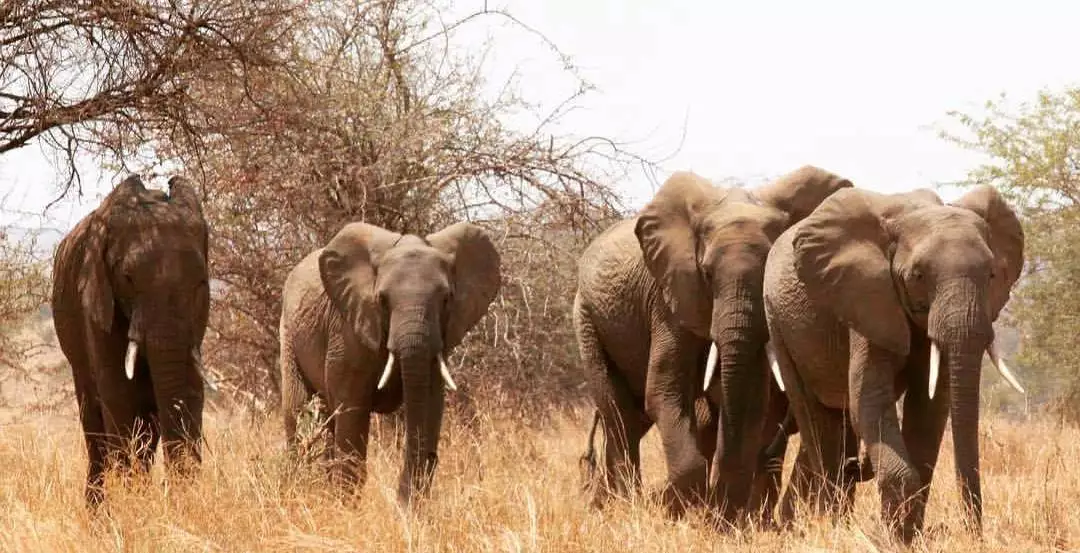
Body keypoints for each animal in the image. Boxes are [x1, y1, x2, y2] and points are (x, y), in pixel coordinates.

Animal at [51, 174, 210, 507]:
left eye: (201, 282)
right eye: (127, 278)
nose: (169, 491)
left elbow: (191, 387)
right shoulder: (96, 299)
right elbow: (118, 393)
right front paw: (133, 500)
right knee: (94, 424)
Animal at [276, 220, 498, 505]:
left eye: (446, 299)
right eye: (382, 300)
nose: (400, 502)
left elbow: (429, 405)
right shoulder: (347, 331)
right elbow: (352, 409)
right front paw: (347, 507)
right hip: (289, 335)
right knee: (300, 411)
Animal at [570, 166, 855, 520]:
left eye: (767, 273)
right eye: (705, 274)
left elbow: (753, 399)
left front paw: (724, 518)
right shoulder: (668, 298)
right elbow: (664, 390)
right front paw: (681, 511)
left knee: (631, 421)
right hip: (586, 317)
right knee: (620, 414)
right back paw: (626, 506)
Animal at [764, 184, 1023, 540]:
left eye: (993, 274)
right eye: (918, 275)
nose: (975, 535)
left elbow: (930, 408)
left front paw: (909, 534)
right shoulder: (866, 297)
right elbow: (869, 399)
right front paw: (895, 537)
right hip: (778, 323)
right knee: (817, 421)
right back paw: (833, 526)